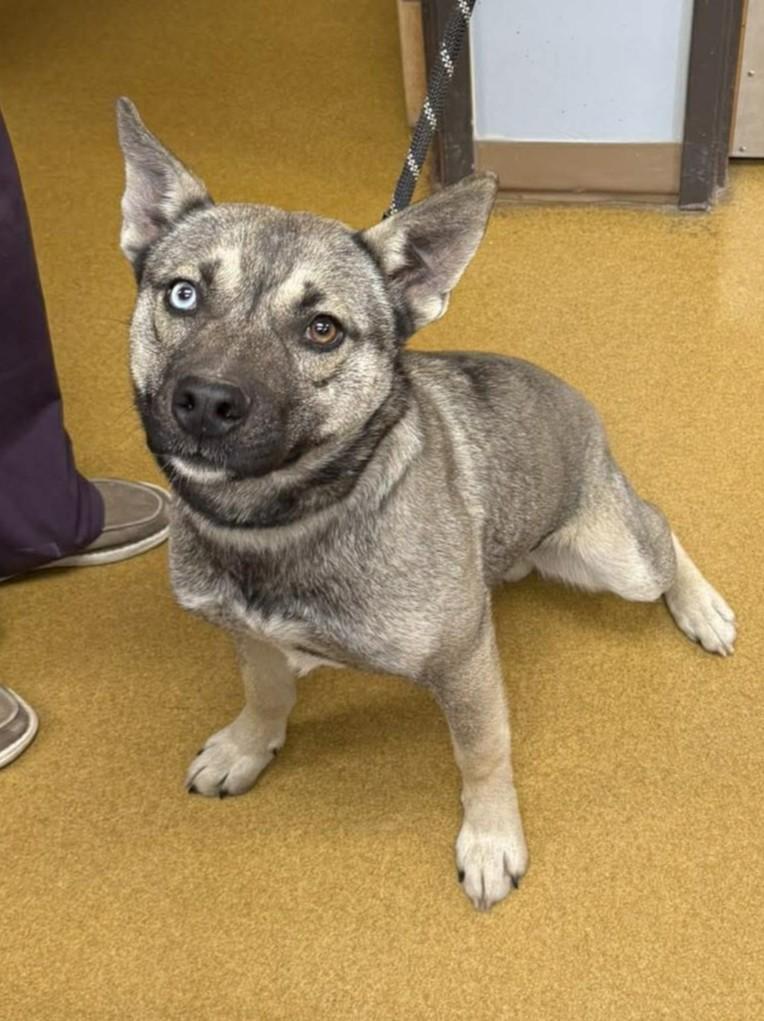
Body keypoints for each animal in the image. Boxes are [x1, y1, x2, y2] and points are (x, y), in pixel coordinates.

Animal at [116, 98, 736, 910]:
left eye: (323, 330)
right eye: (182, 293)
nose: (206, 401)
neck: (280, 522)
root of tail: (580, 406)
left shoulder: (464, 662)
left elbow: (482, 753)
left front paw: (491, 835)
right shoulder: (245, 633)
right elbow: (265, 692)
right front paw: (250, 744)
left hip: (613, 556)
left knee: (660, 526)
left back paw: (701, 606)